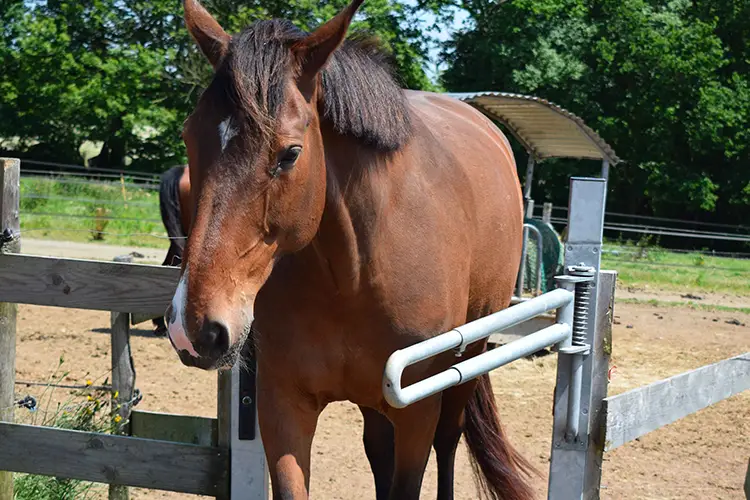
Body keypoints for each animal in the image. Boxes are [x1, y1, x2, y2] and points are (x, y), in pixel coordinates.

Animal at [160, 0, 536, 500]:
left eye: (290, 154)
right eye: (188, 137)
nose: (195, 328)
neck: (352, 273)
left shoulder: (417, 413)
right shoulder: (283, 408)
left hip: (467, 361)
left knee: (449, 441)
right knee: (378, 449)